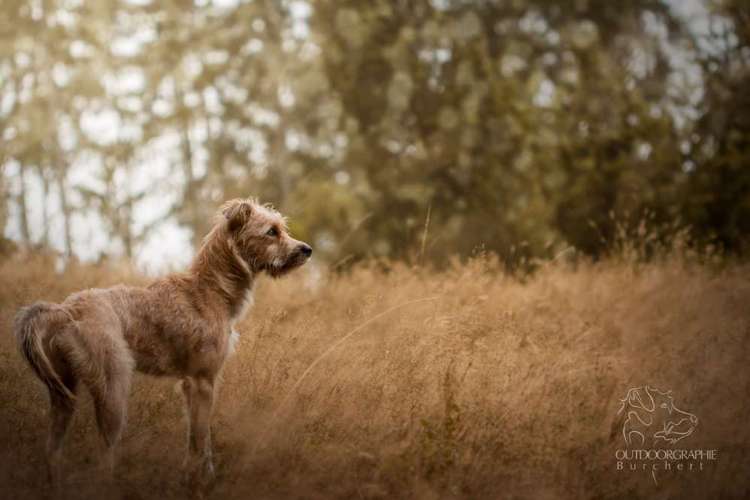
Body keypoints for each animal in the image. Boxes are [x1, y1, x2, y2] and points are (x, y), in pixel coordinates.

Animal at [14, 198, 314, 488]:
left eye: (282, 228)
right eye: (271, 232)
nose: (307, 250)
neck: (211, 288)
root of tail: (65, 310)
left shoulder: (189, 384)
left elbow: (195, 440)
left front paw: (191, 477)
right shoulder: (203, 381)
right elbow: (202, 438)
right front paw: (203, 481)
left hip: (63, 395)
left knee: (52, 452)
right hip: (113, 389)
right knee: (103, 459)